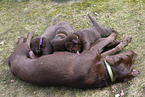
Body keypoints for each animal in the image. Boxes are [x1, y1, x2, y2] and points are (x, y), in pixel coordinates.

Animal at [8, 31, 138, 88]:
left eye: (131, 59)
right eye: (127, 56)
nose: (135, 53)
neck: (108, 72)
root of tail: (10, 64)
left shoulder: (93, 53)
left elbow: (110, 46)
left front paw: (118, 40)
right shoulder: (91, 52)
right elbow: (109, 44)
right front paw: (117, 38)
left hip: (23, 51)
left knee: (24, 43)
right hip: (23, 51)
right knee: (24, 42)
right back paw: (28, 33)